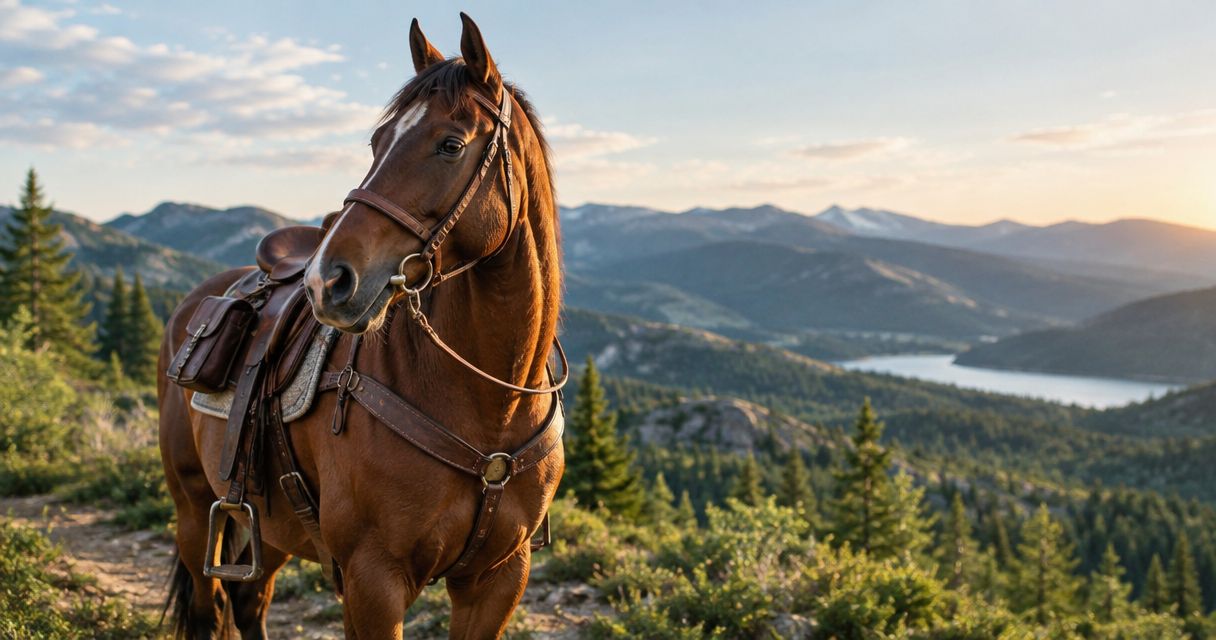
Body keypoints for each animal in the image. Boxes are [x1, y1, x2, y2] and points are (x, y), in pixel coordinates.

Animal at [158, 14, 564, 639]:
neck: (488, 407)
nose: (327, 281)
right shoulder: (373, 580)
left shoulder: (498, 579)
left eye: (451, 145)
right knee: (209, 610)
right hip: (193, 511)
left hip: (268, 528)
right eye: (377, 142)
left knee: (250, 602)